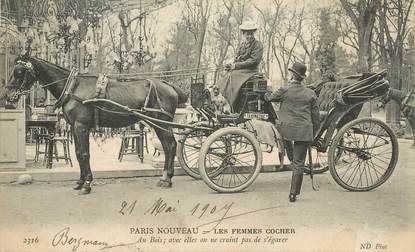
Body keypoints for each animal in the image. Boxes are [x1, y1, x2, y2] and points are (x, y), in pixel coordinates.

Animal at [4, 55, 189, 194]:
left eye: (19, 71)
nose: (7, 95)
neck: (73, 86)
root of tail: (169, 85)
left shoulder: (81, 126)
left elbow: (85, 154)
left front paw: (87, 185)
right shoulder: (75, 127)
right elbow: (78, 153)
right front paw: (80, 181)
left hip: (162, 123)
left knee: (171, 146)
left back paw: (167, 179)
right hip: (158, 124)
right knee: (168, 147)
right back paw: (165, 177)